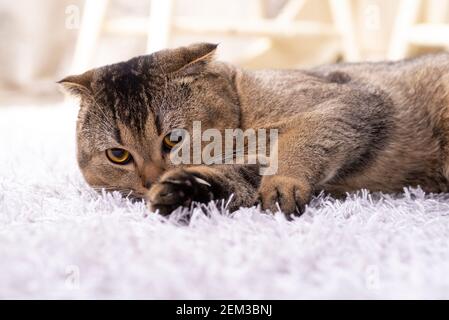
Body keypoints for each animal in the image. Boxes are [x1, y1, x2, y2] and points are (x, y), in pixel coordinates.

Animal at [59, 42, 449, 216]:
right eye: (118, 155)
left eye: (174, 138)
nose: (151, 180)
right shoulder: (246, 166)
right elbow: (231, 183)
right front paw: (182, 193)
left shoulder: (355, 102)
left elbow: (303, 138)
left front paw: (284, 182)